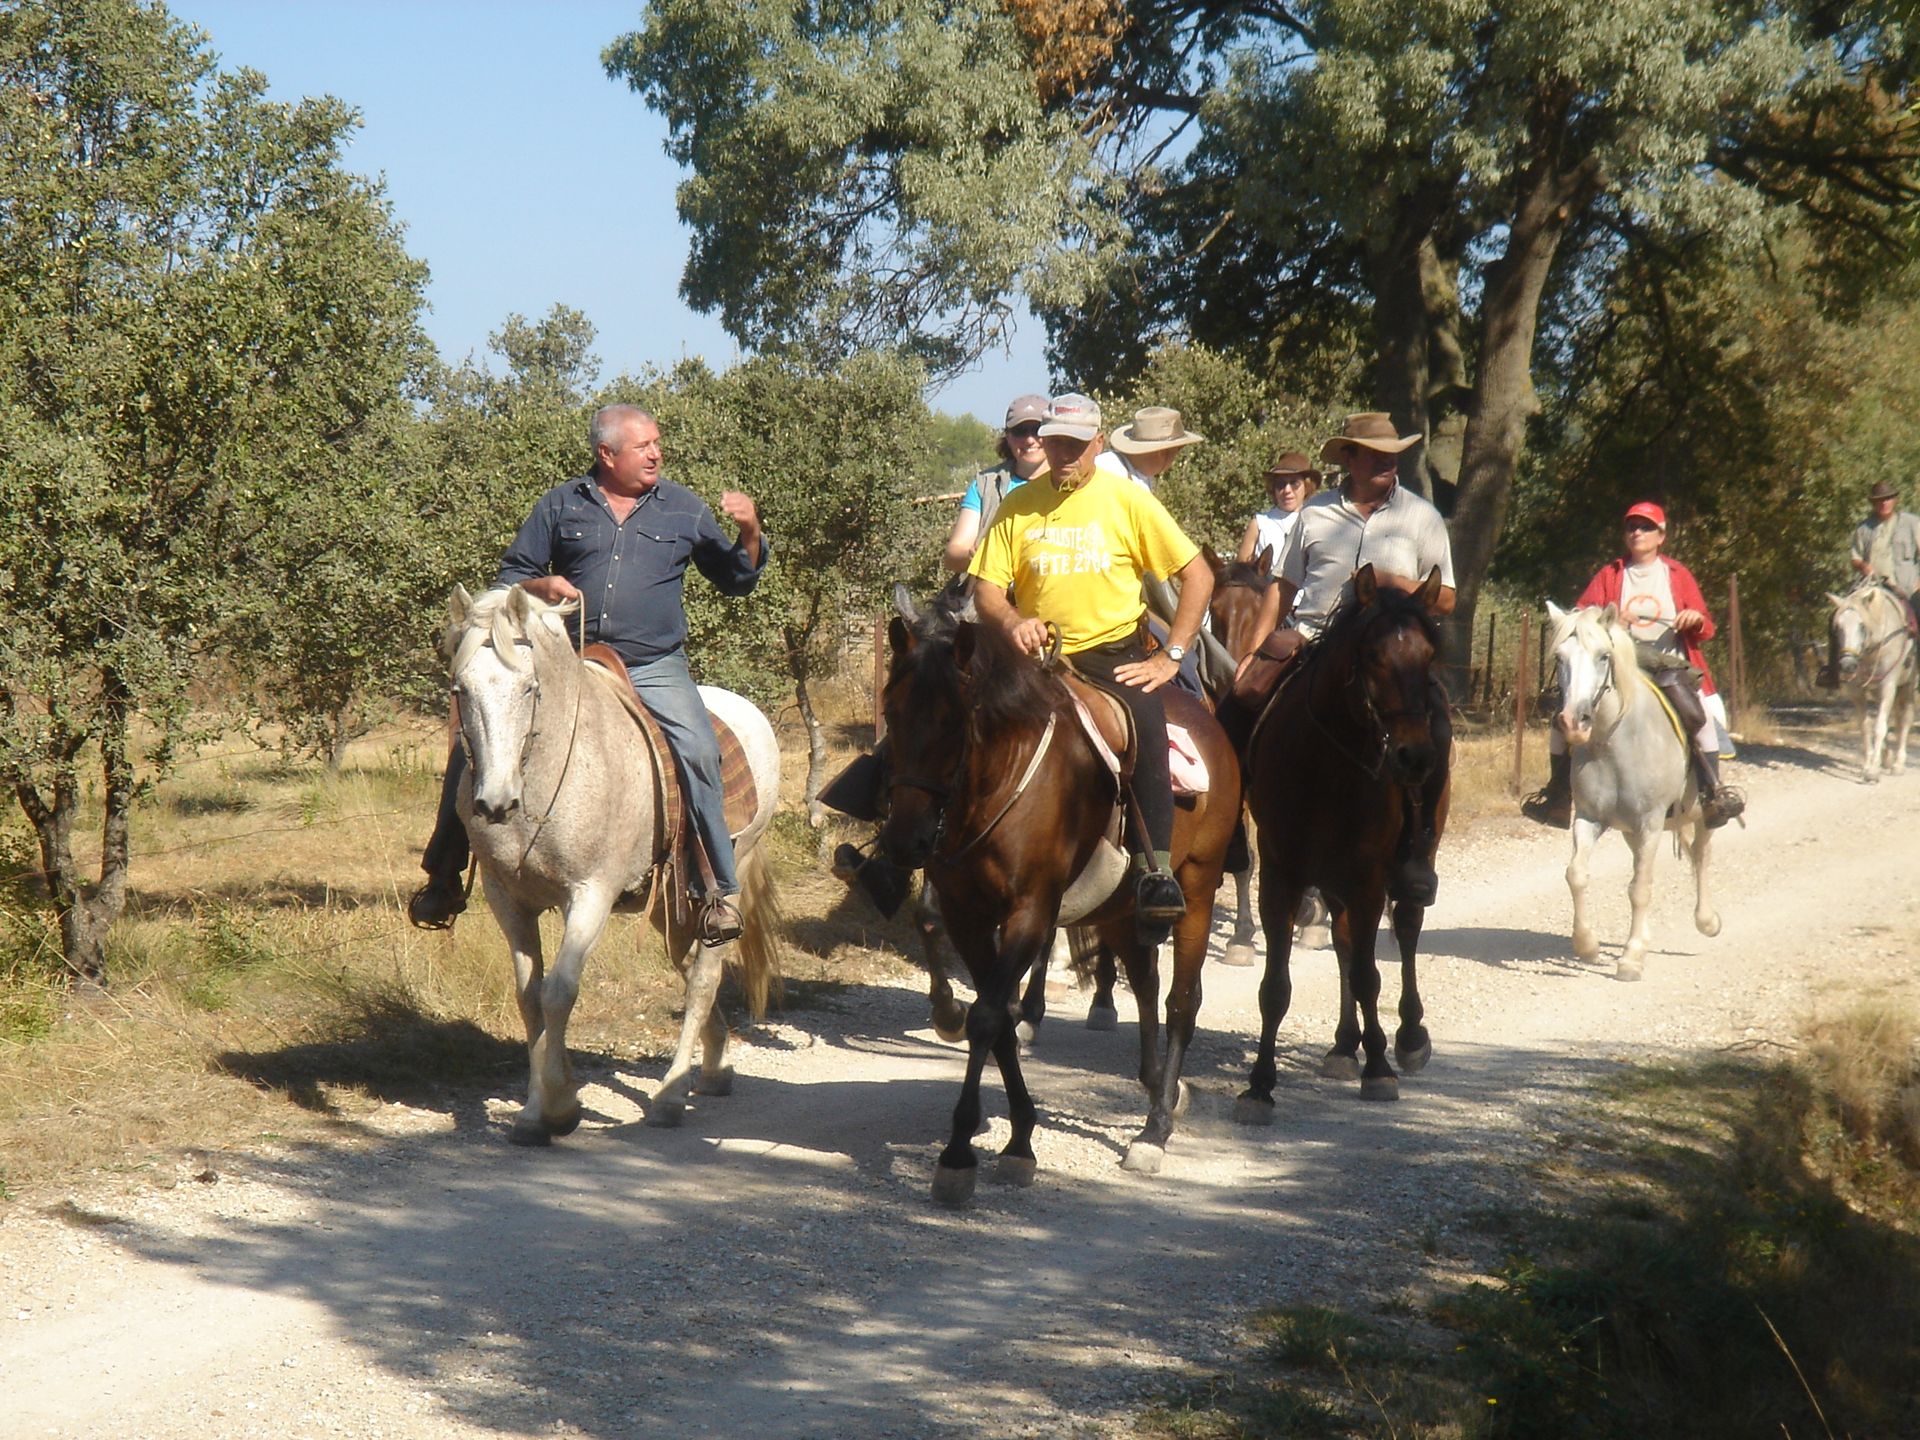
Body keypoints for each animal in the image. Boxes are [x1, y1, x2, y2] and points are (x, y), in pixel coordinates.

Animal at [445, 587, 783, 1152]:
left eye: (530, 687)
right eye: (461, 689)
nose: (494, 802)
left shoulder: (590, 894)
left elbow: (558, 993)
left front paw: (558, 1107)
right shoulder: (505, 898)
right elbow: (529, 997)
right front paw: (540, 1109)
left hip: (726, 884)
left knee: (703, 978)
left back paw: (670, 1096)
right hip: (672, 904)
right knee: (688, 966)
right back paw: (715, 1067)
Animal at [875, 587, 1236, 1205]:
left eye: (953, 721)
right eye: (891, 713)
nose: (905, 839)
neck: (999, 778)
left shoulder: (1030, 911)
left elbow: (989, 1017)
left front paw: (960, 1153)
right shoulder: (969, 918)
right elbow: (996, 1018)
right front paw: (1020, 1135)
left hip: (1198, 883)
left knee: (1180, 1001)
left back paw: (1156, 1128)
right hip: (1118, 907)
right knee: (1145, 983)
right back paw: (1157, 1087)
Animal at [1221, 564, 1443, 1113]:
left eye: (1429, 657)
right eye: (1373, 656)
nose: (1413, 758)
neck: (1327, 764)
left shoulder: (1367, 878)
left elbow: (1368, 975)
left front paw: (1379, 1068)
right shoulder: (1283, 875)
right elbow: (1276, 986)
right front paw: (1260, 1084)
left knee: (1405, 928)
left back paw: (1408, 1036)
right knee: (1344, 943)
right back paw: (1345, 1045)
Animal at [1543, 602, 1728, 990]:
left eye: (1603, 656)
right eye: (1560, 658)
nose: (1573, 722)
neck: (1613, 741)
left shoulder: (1650, 822)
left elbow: (1640, 888)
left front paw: (1630, 959)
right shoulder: (1589, 818)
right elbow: (1576, 874)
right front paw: (1587, 945)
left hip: (1699, 815)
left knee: (1701, 856)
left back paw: (1706, 920)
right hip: (1630, 830)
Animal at [1820, 583, 1912, 791]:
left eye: (1862, 626)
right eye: (1837, 628)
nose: (1847, 666)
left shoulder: (1888, 687)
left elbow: (1879, 727)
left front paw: (1872, 772)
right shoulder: (1856, 691)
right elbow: (1865, 727)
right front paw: (1868, 765)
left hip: (1909, 686)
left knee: (1904, 720)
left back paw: (1898, 764)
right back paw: (1887, 758)